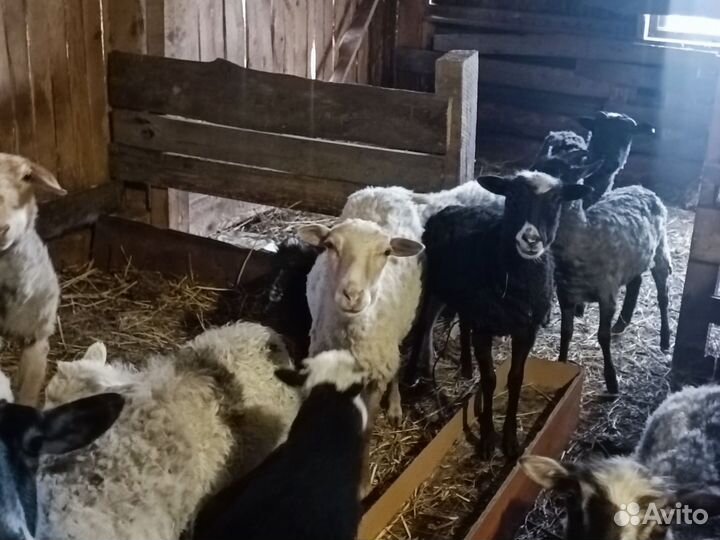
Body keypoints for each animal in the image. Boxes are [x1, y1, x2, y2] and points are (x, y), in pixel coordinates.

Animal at [421, 170, 592, 458]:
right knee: (424, 324)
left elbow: (515, 378)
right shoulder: (484, 329)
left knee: (463, 324)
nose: (530, 239)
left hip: (467, 302)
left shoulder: (526, 330)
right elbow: (489, 380)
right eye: (511, 198)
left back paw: (466, 366)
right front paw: (488, 440)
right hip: (432, 285)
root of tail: (453, 208)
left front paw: (510, 440)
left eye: (556, 202)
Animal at [553, 180, 672, 395]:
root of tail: (640, 187)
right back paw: (621, 323)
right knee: (635, 282)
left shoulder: (606, 295)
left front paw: (611, 380)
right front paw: (561, 366)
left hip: (660, 251)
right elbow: (565, 333)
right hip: (633, 259)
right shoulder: (565, 294)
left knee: (663, 296)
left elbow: (602, 336)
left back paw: (665, 339)